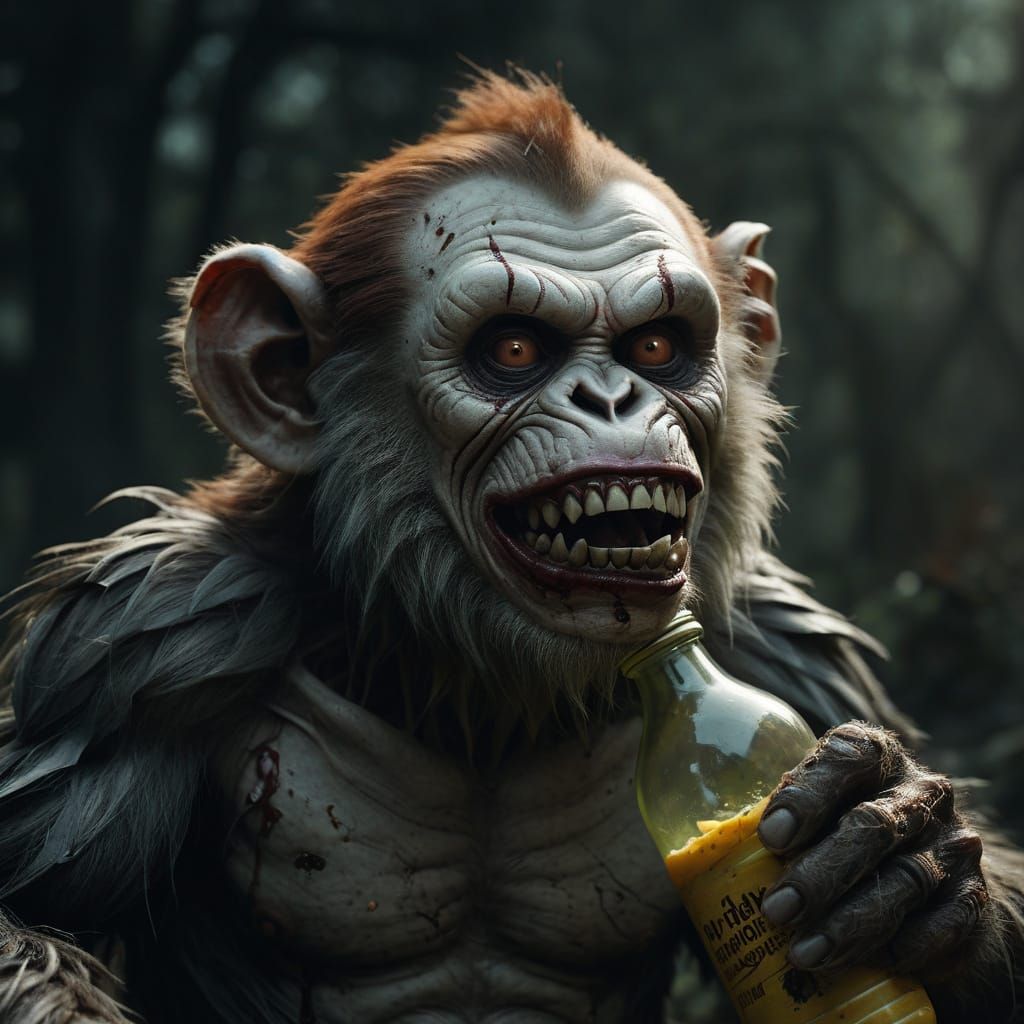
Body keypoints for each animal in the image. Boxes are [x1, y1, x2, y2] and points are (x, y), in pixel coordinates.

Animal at [0, 69, 1021, 1024]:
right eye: (517, 350)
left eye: (657, 347)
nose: (611, 398)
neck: (480, 681)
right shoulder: (142, 633)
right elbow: (29, 914)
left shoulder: (795, 648)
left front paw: (910, 852)